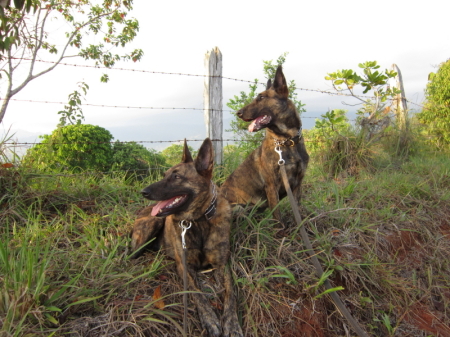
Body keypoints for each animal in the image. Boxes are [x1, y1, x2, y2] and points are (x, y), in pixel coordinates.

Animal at [130, 137, 243, 336]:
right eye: (165, 174)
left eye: (176, 177)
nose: (143, 192)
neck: (199, 220)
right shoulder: (185, 266)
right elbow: (198, 294)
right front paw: (210, 319)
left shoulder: (223, 265)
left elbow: (231, 295)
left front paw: (232, 323)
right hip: (152, 224)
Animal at [221, 66, 310, 223]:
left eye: (261, 97)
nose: (238, 113)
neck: (286, 141)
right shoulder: (272, 186)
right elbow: (278, 216)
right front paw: (281, 229)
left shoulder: (297, 184)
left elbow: (297, 210)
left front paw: (300, 225)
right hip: (238, 208)